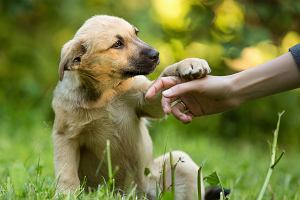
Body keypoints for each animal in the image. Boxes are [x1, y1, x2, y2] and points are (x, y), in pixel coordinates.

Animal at [52, 14, 219, 199]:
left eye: (136, 33)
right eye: (117, 44)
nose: (156, 54)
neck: (106, 94)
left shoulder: (147, 99)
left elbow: (165, 76)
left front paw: (188, 64)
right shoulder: (65, 135)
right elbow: (67, 173)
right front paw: (67, 193)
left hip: (178, 164)